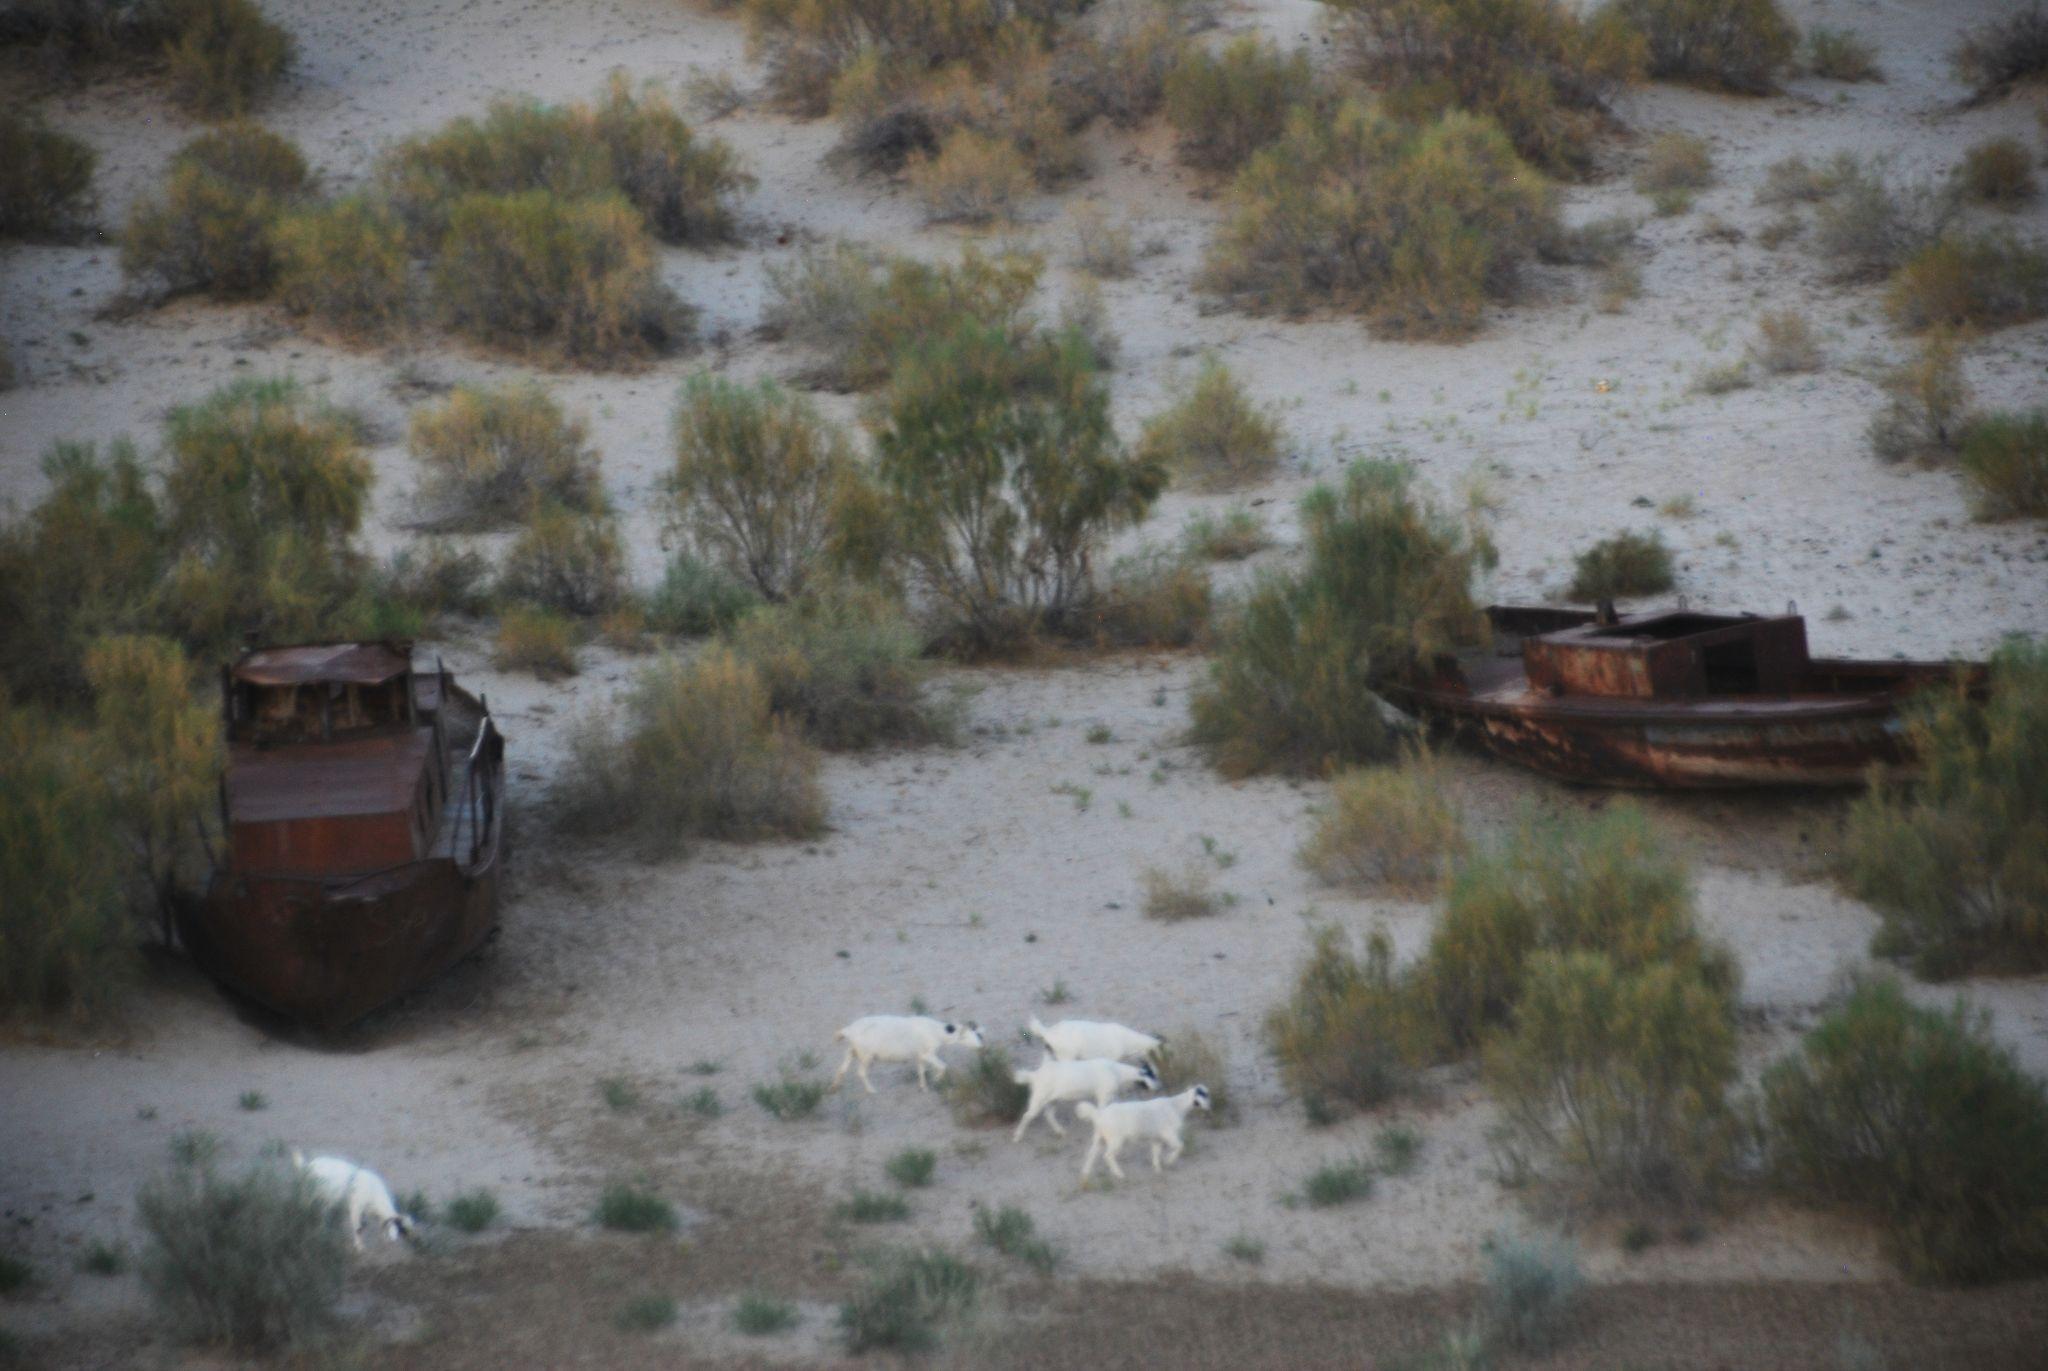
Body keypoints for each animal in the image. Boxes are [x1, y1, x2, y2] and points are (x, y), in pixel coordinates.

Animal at [830, 1014, 986, 1093]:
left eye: (978, 1034)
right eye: (969, 1036)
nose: (981, 1047)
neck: (936, 1031)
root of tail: (849, 1030)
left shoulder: (919, 1056)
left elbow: (921, 1071)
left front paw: (923, 1087)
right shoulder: (927, 1054)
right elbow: (943, 1066)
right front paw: (936, 1080)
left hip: (853, 1051)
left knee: (842, 1068)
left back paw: (835, 1087)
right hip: (866, 1056)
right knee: (861, 1072)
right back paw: (871, 1090)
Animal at [1011, 1055, 1159, 1141]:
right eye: (1151, 1074)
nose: (1158, 1087)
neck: (1116, 1071)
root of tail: (1035, 1075)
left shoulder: (1111, 1096)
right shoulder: (1103, 1097)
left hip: (1052, 1099)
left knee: (1049, 1114)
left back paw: (1060, 1132)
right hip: (1039, 1098)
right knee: (1027, 1115)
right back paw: (1017, 1137)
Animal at [1075, 1085, 1210, 1181]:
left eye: (1207, 1094)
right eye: (1202, 1094)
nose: (1209, 1106)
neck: (1176, 1106)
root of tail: (1099, 1115)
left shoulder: (1157, 1139)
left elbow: (1156, 1154)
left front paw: (1158, 1169)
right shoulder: (1168, 1134)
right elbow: (1180, 1146)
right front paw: (1168, 1161)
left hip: (1100, 1138)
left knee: (1091, 1154)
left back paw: (1085, 1174)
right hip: (1116, 1140)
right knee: (1107, 1156)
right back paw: (1119, 1174)